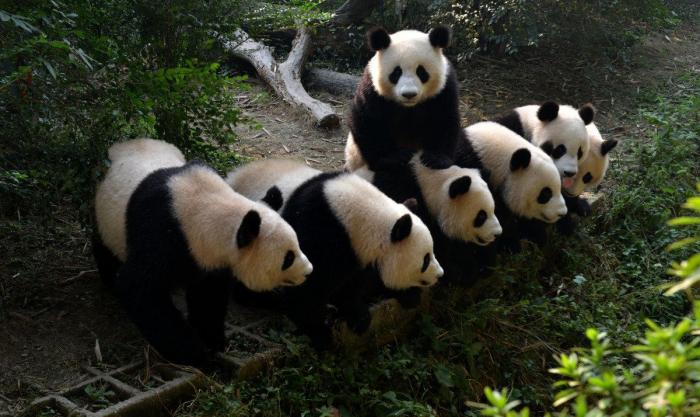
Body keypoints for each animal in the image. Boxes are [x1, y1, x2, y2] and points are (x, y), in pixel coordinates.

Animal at [93, 139, 312, 367]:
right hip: (108, 217)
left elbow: (207, 297)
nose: (309, 270)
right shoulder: (161, 234)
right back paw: (109, 279)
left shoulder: (207, 256)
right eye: (288, 258)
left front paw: (213, 341)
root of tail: (123, 143)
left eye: (298, 245)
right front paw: (196, 355)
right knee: (105, 248)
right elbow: (140, 289)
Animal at [226, 160, 444, 348]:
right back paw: (269, 298)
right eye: (425, 259)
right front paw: (320, 334)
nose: (440, 274)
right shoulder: (319, 229)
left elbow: (353, 284)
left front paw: (358, 316)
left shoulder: (357, 252)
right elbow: (309, 288)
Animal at [344, 25, 462, 172]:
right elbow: (368, 120)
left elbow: (444, 119)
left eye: (421, 72)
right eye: (396, 72)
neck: (409, 107)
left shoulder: (444, 89)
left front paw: (436, 158)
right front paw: (393, 158)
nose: (409, 94)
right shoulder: (372, 89)